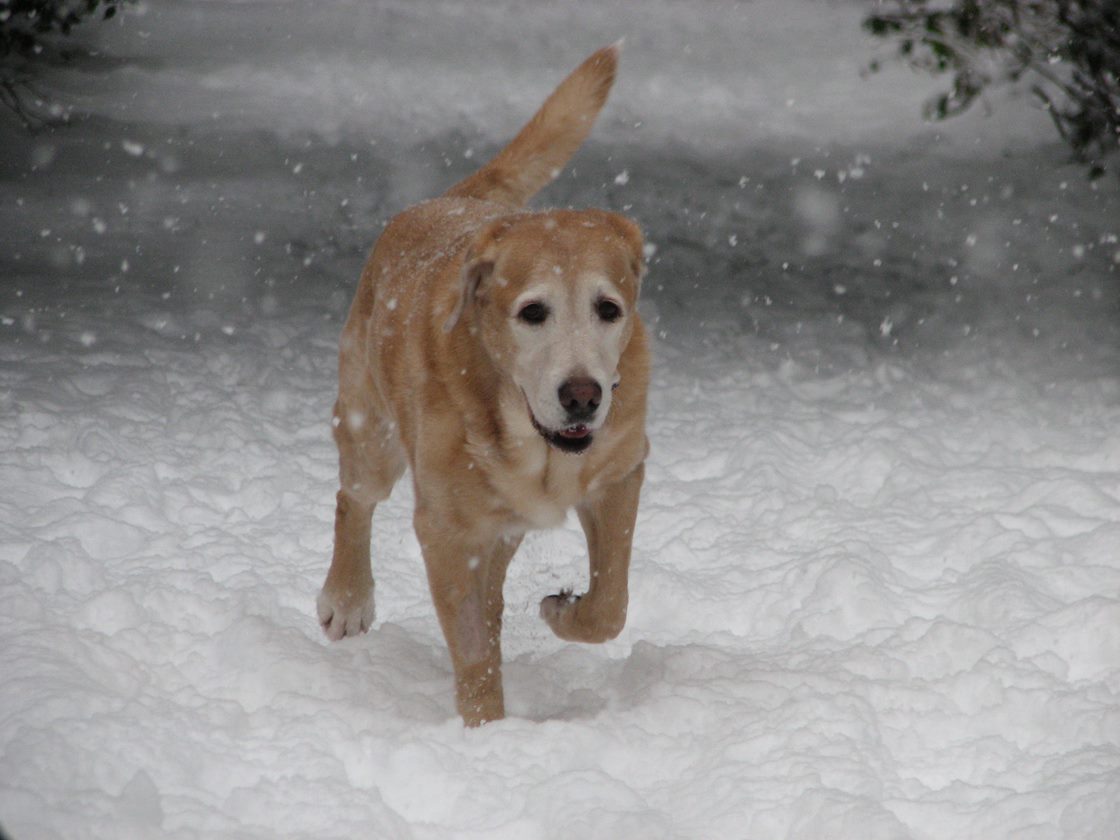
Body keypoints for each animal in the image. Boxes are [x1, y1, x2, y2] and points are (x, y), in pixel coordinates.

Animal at [318, 45, 649, 725]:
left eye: (609, 309)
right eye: (532, 312)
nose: (583, 396)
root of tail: (445, 202)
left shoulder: (620, 475)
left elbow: (610, 604)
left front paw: (564, 609)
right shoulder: (446, 530)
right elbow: (473, 656)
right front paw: (487, 734)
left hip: (505, 524)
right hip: (372, 435)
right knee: (353, 498)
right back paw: (347, 597)